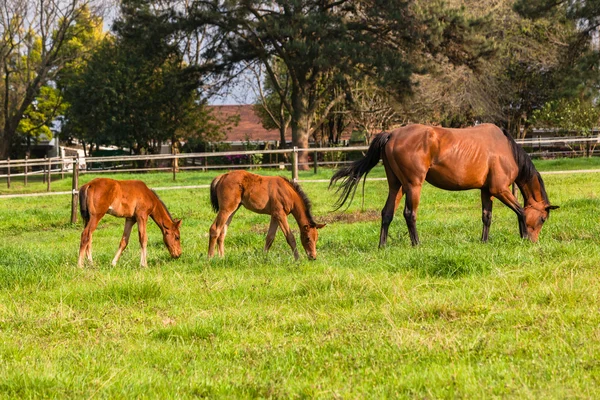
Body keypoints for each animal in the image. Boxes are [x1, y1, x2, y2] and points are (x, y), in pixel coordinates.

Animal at [328, 123, 556, 245]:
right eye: (543, 219)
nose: (535, 242)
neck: (506, 150)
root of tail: (391, 134)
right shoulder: (500, 190)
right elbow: (521, 211)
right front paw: (524, 236)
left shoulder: (487, 191)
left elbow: (487, 217)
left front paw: (484, 241)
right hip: (413, 186)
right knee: (409, 214)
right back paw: (417, 245)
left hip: (396, 186)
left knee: (387, 213)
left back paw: (382, 246)